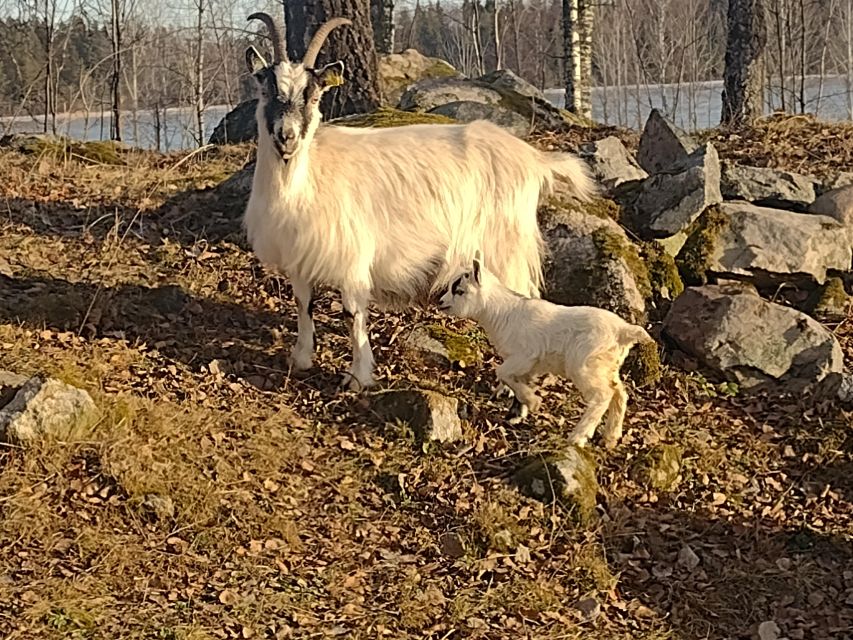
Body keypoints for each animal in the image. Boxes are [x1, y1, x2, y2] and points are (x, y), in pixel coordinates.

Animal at [243, 12, 596, 390]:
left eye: (313, 97)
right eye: (267, 90)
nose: (287, 137)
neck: (307, 178)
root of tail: (535, 159)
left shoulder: (352, 257)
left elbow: (353, 314)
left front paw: (358, 376)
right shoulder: (299, 257)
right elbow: (302, 303)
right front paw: (301, 358)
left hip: (506, 244)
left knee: (521, 296)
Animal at [440, 254, 652, 444]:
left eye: (459, 290)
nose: (441, 302)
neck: (503, 313)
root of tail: (623, 331)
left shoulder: (524, 356)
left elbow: (502, 373)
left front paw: (533, 403)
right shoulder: (528, 366)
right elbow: (517, 381)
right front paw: (517, 414)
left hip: (584, 365)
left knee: (603, 396)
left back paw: (578, 437)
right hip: (607, 366)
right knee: (619, 393)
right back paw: (611, 437)